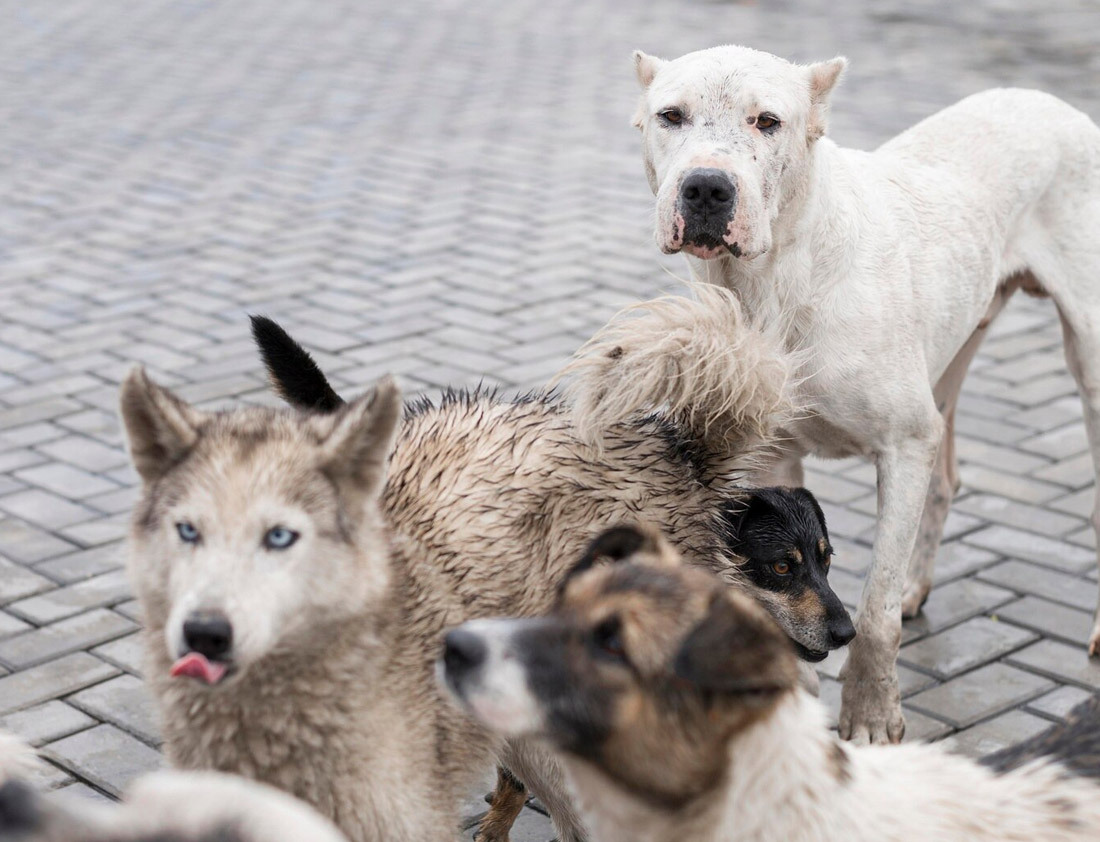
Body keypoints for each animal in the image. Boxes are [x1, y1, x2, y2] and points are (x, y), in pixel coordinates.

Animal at [629, 44, 1100, 744]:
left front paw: (872, 716)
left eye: (768, 122)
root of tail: (1054, 104)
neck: (775, 281)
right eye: (671, 116)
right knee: (944, 478)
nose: (707, 187)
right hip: (953, 352)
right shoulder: (773, 458)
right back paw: (916, 584)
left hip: (1088, 361)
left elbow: (874, 612)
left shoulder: (904, 444)